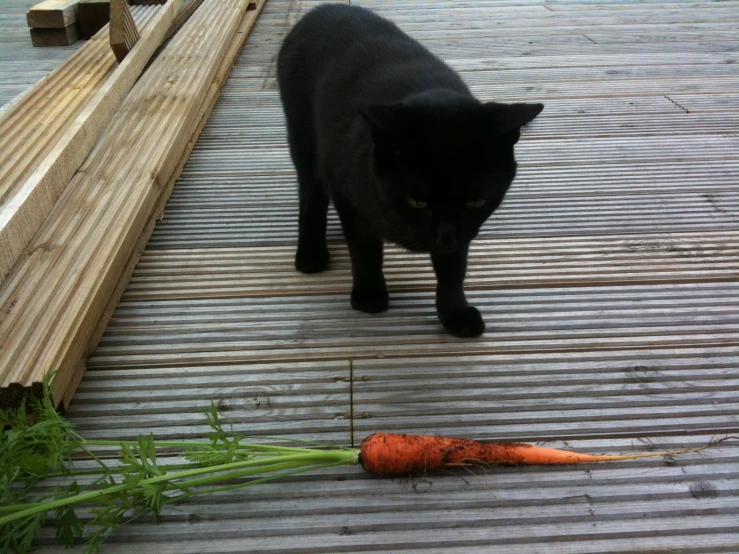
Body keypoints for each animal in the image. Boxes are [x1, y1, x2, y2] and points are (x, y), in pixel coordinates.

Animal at [278, 4, 544, 336]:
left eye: (476, 201)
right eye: (417, 201)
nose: (444, 237)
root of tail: (323, 8)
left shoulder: (464, 230)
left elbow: (453, 270)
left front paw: (455, 313)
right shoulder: (347, 193)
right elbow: (365, 250)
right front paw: (369, 294)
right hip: (304, 138)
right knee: (311, 195)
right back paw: (311, 253)